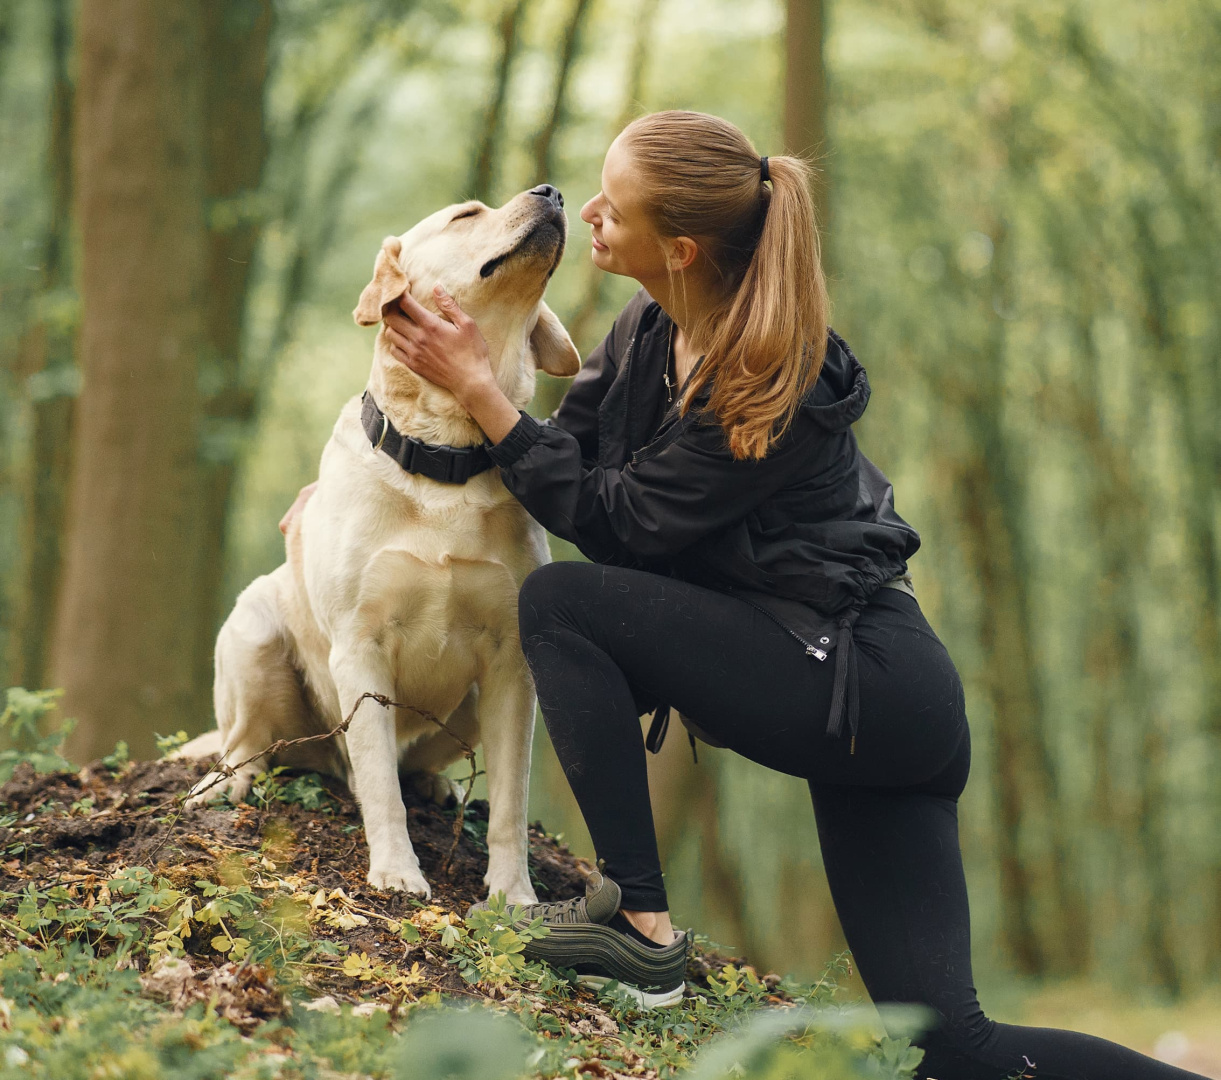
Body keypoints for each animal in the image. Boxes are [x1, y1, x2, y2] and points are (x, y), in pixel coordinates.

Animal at [181, 187, 581, 903]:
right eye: (467, 215)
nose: (553, 192)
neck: (446, 457)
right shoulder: (360, 646)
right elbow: (379, 788)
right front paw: (396, 872)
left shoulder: (512, 662)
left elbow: (510, 799)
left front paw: (513, 894)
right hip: (254, 631)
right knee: (249, 742)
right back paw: (227, 781)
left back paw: (435, 783)